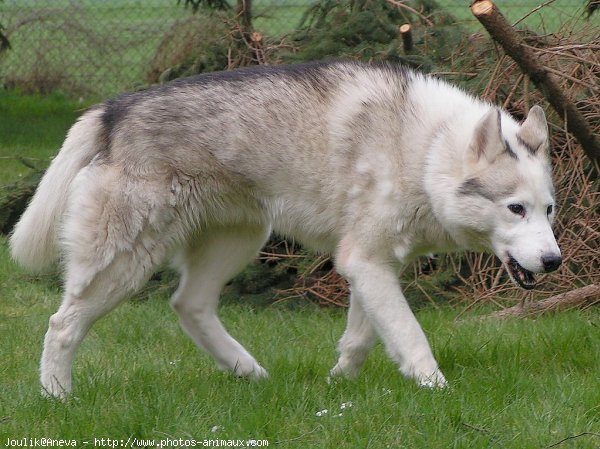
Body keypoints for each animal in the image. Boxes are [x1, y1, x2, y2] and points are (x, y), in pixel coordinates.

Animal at [10, 60, 564, 396]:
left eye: (549, 211)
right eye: (516, 209)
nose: (555, 261)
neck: (427, 150)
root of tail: (112, 111)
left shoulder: (372, 265)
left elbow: (362, 338)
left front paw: (339, 384)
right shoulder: (365, 262)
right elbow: (411, 335)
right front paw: (437, 391)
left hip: (234, 246)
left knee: (188, 306)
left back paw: (249, 373)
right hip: (126, 265)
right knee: (62, 324)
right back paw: (57, 397)